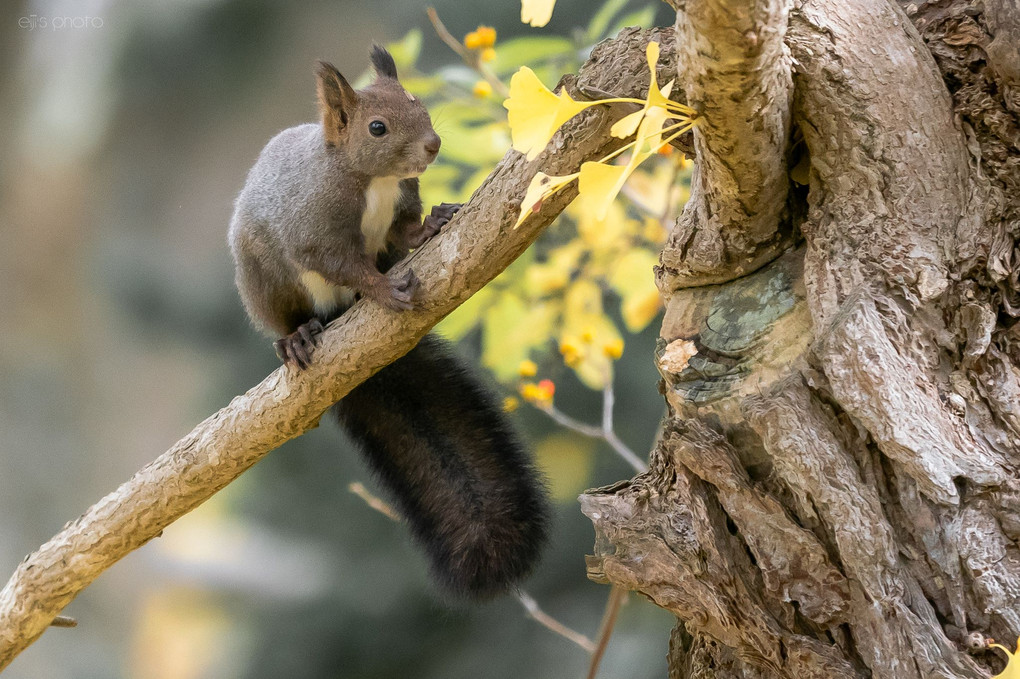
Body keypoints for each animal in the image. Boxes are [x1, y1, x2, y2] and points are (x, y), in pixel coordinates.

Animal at [227, 48, 550, 599]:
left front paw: (436, 222)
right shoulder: (315, 230)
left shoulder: (400, 207)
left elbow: (405, 231)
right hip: (265, 280)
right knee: (290, 314)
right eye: (376, 127)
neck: (370, 181)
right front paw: (380, 289)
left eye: (418, 103)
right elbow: (342, 263)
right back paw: (297, 337)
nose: (433, 144)